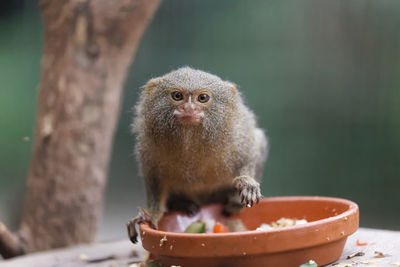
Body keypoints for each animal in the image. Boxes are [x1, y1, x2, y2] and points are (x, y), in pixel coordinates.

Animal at [126, 66, 268, 243]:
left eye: (203, 98)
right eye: (177, 96)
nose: (189, 108)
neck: (190, 138)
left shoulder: (240, 134)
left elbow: (251, 150)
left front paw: (246, 182)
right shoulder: (148, 148)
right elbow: (154, 180)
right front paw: (150, 213)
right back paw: (183, 205)